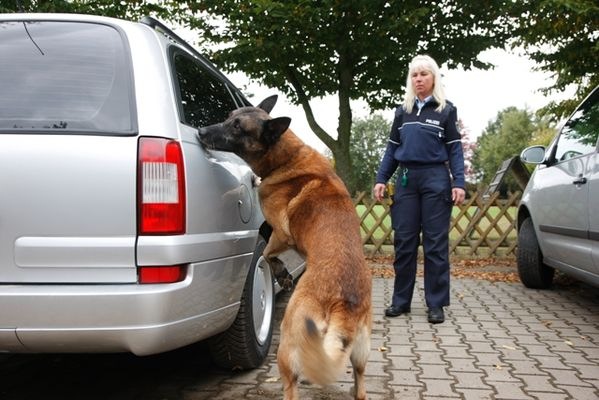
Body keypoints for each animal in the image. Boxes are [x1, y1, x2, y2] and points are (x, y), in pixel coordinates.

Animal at [199, 97, 372, 400]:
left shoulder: (280, 234)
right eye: (229, 116)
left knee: (292, 386)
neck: (286, 159)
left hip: (289, 339)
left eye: (237, 127)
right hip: (360, 352)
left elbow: (267, 255)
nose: (200, 131)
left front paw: (282, 274)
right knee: (359, 384)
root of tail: (344, 300)